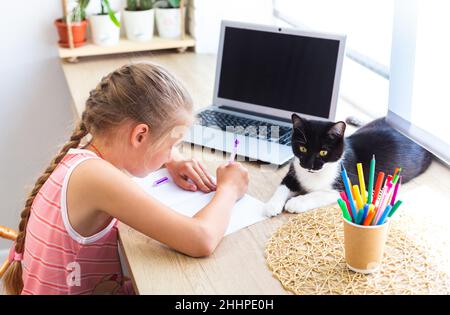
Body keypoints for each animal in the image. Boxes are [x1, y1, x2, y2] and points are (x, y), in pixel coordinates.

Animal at [264, 114, 432, 217]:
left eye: (323, 152)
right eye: (303, 149)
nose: (310, 165)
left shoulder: (352, 184)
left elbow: (319, 194)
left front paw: (297, 202)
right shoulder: (295, 170)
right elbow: (283, 186)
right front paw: (271, 206)